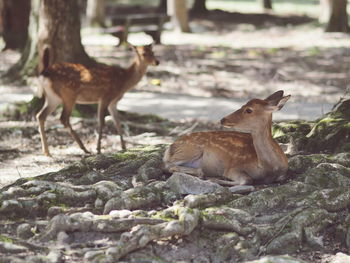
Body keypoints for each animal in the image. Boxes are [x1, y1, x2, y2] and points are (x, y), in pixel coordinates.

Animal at [163, 91, 292, 186]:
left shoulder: (283, 173)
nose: (223, 119)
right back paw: (202, 174)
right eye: (243, 105)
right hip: (190, 150)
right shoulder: (233, 167)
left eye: (249, 110)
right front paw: (214, 179)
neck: (269, 167)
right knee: (168, 165)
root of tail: (170, 147)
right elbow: (247, 180)